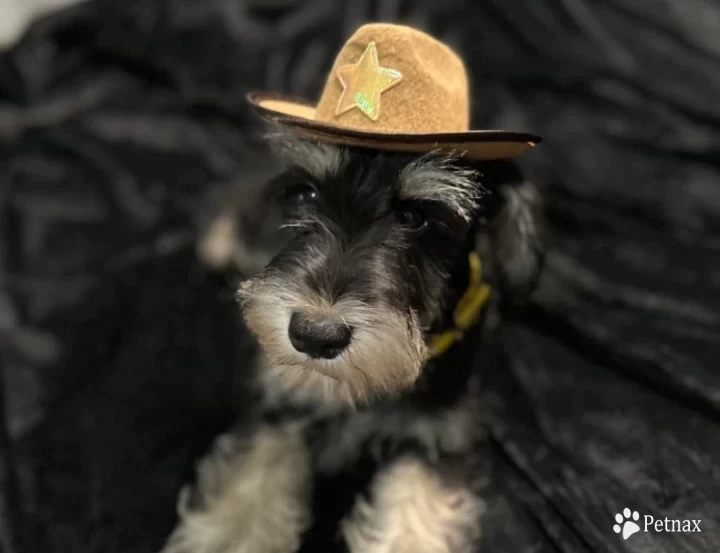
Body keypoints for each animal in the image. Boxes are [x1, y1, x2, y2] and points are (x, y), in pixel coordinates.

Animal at [162, 23, 540, 552]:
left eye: (416, 217)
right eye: (304, 194)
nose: (314, 337)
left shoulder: (439, 432)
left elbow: (414, 516)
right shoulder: (277, 400)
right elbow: (248, 489)